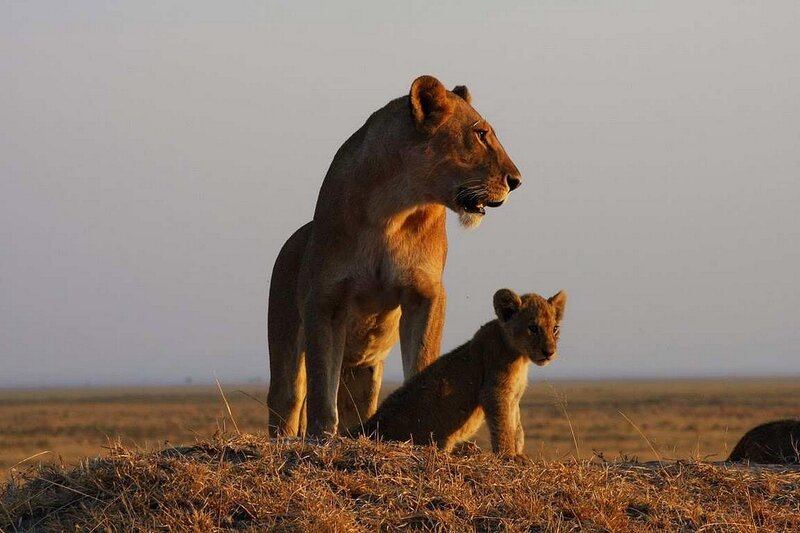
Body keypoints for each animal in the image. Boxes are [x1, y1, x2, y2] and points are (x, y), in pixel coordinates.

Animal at [267, 76, 522, 438]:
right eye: (481, 134)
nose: (516, 181)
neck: (394, 208)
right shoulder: (325, 300)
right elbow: (319, 387)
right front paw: (320, 436)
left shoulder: (425, 293)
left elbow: (422, 361)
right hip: (286, 341)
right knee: (289, 397)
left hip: (362, 373)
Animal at [349, 289, 567, 457]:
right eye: (533, 328)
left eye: (555, 328)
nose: (549, 352)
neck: (519, 356)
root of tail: (364, 428)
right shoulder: (494, 391)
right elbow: (503, 425)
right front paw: (509, 457)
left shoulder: (513, 396)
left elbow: (516, 425)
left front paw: (518, 452)